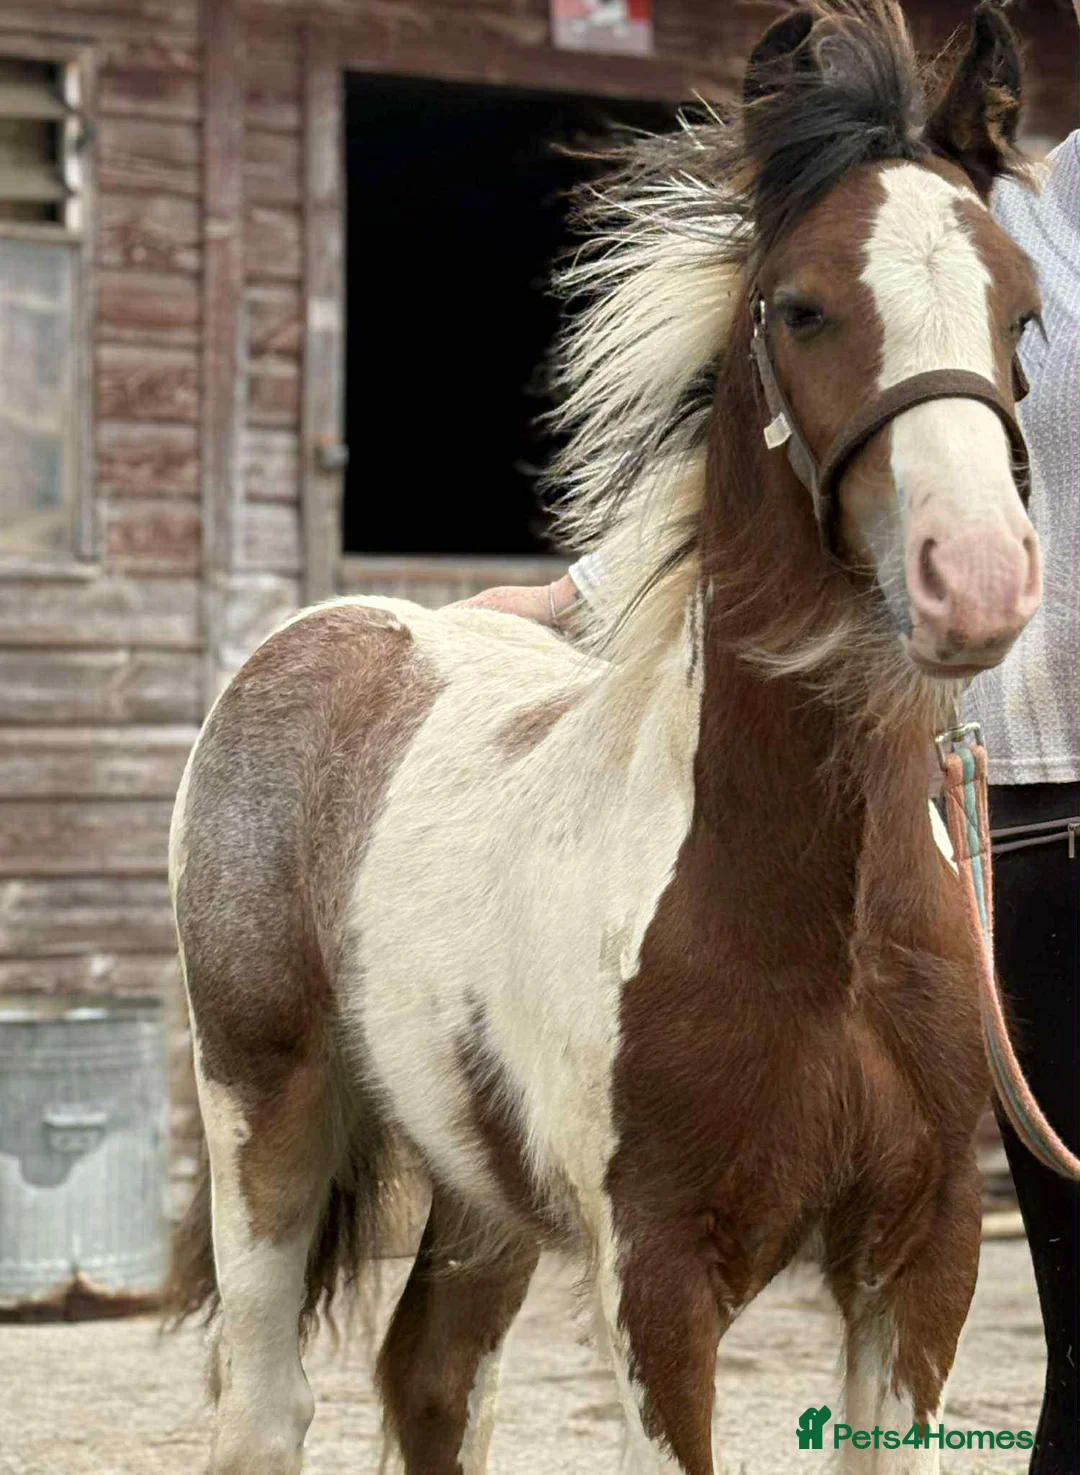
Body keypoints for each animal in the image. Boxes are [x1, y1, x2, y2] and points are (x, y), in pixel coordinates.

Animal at [167, 5, 1044, 1472]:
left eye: (1022, 309)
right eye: (801, 305)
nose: (975, 579)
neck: (824, 923)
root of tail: (316, 636)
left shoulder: (921, 1256)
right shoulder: (659, 1272)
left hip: (480, 1179)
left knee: (434, 1376)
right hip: (262, 1098)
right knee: (266, 1401)